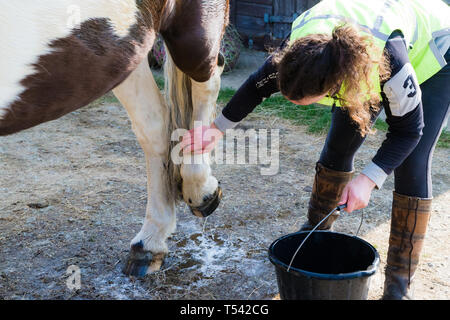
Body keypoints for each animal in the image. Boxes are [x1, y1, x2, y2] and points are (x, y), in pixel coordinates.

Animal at [0, 0, 230, 276]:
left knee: (208, 81)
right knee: (154, 123)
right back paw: (149, 243)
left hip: (192, 31)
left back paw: (201, 192)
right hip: (124, 50)